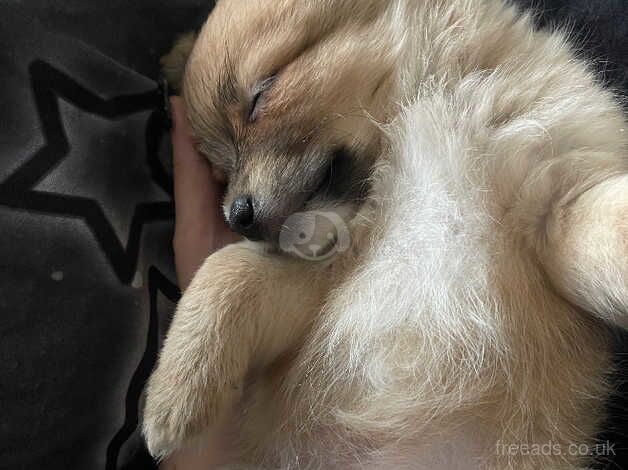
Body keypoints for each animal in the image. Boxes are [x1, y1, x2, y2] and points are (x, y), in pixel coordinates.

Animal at [142, 1, 628, 468]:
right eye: (220, 169)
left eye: (262, 94)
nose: (237, 215)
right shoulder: (319, 283)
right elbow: (229, 270)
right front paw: (175, 393)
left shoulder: (557, 206)